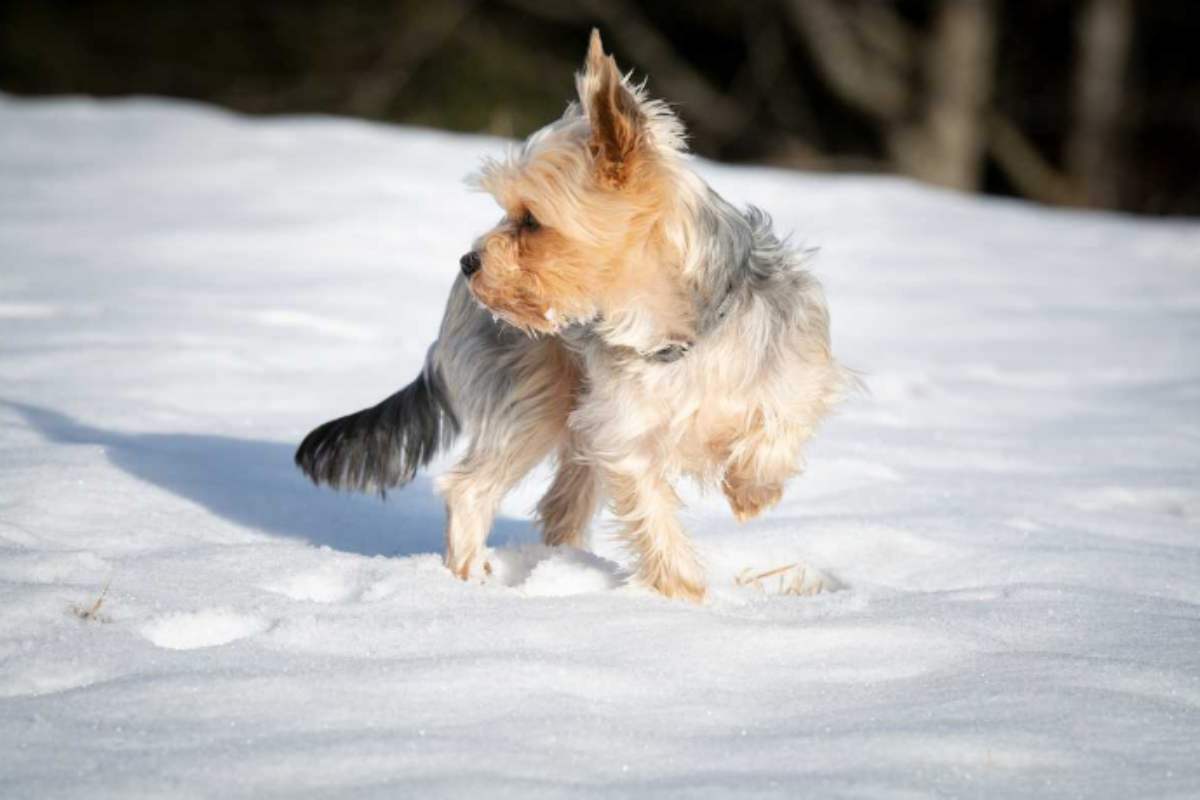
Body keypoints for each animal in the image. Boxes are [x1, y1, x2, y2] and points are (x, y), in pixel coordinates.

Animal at [295, 31, 849, 604]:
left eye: (531, 220)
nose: (468, 262)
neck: (677, 333)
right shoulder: (626, 435)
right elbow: (653, 515)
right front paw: (682, 598)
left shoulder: (796, 370)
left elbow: (781, 423)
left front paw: (751, 492)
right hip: (533, 397)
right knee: (470, 489)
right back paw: (471, 585)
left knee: (561, 504)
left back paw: (563, 567)